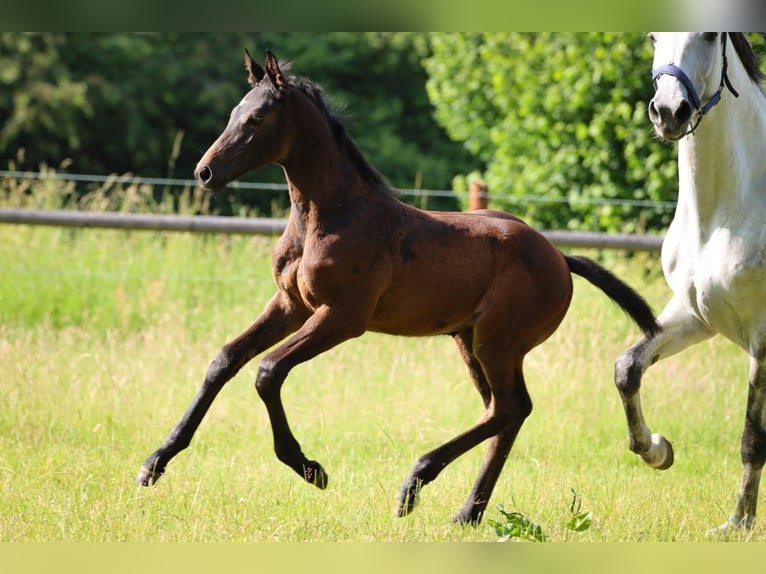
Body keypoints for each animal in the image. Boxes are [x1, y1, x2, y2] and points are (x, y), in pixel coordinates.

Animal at [137, 49, 660, 525]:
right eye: (233, 112)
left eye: (258, 117)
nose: (205, 172)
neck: (331, 215)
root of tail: (559, 258)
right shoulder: (291, 304)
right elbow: (224, 360)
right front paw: (154, 463)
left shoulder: (343, 317)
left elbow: (267, 371)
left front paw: (309, 468)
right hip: (472, 341)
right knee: (507, 411)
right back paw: (465, 513)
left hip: (497, 342)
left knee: (510, 408)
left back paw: (416, 483)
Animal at [614, 32, 766, 533]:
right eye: (652, 37)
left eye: (711, 35)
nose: (669, 111)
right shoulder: (696, 316)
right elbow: (628, 368)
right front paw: (657, 450)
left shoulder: (762, 336)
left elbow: (752, 436)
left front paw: (738, 523)